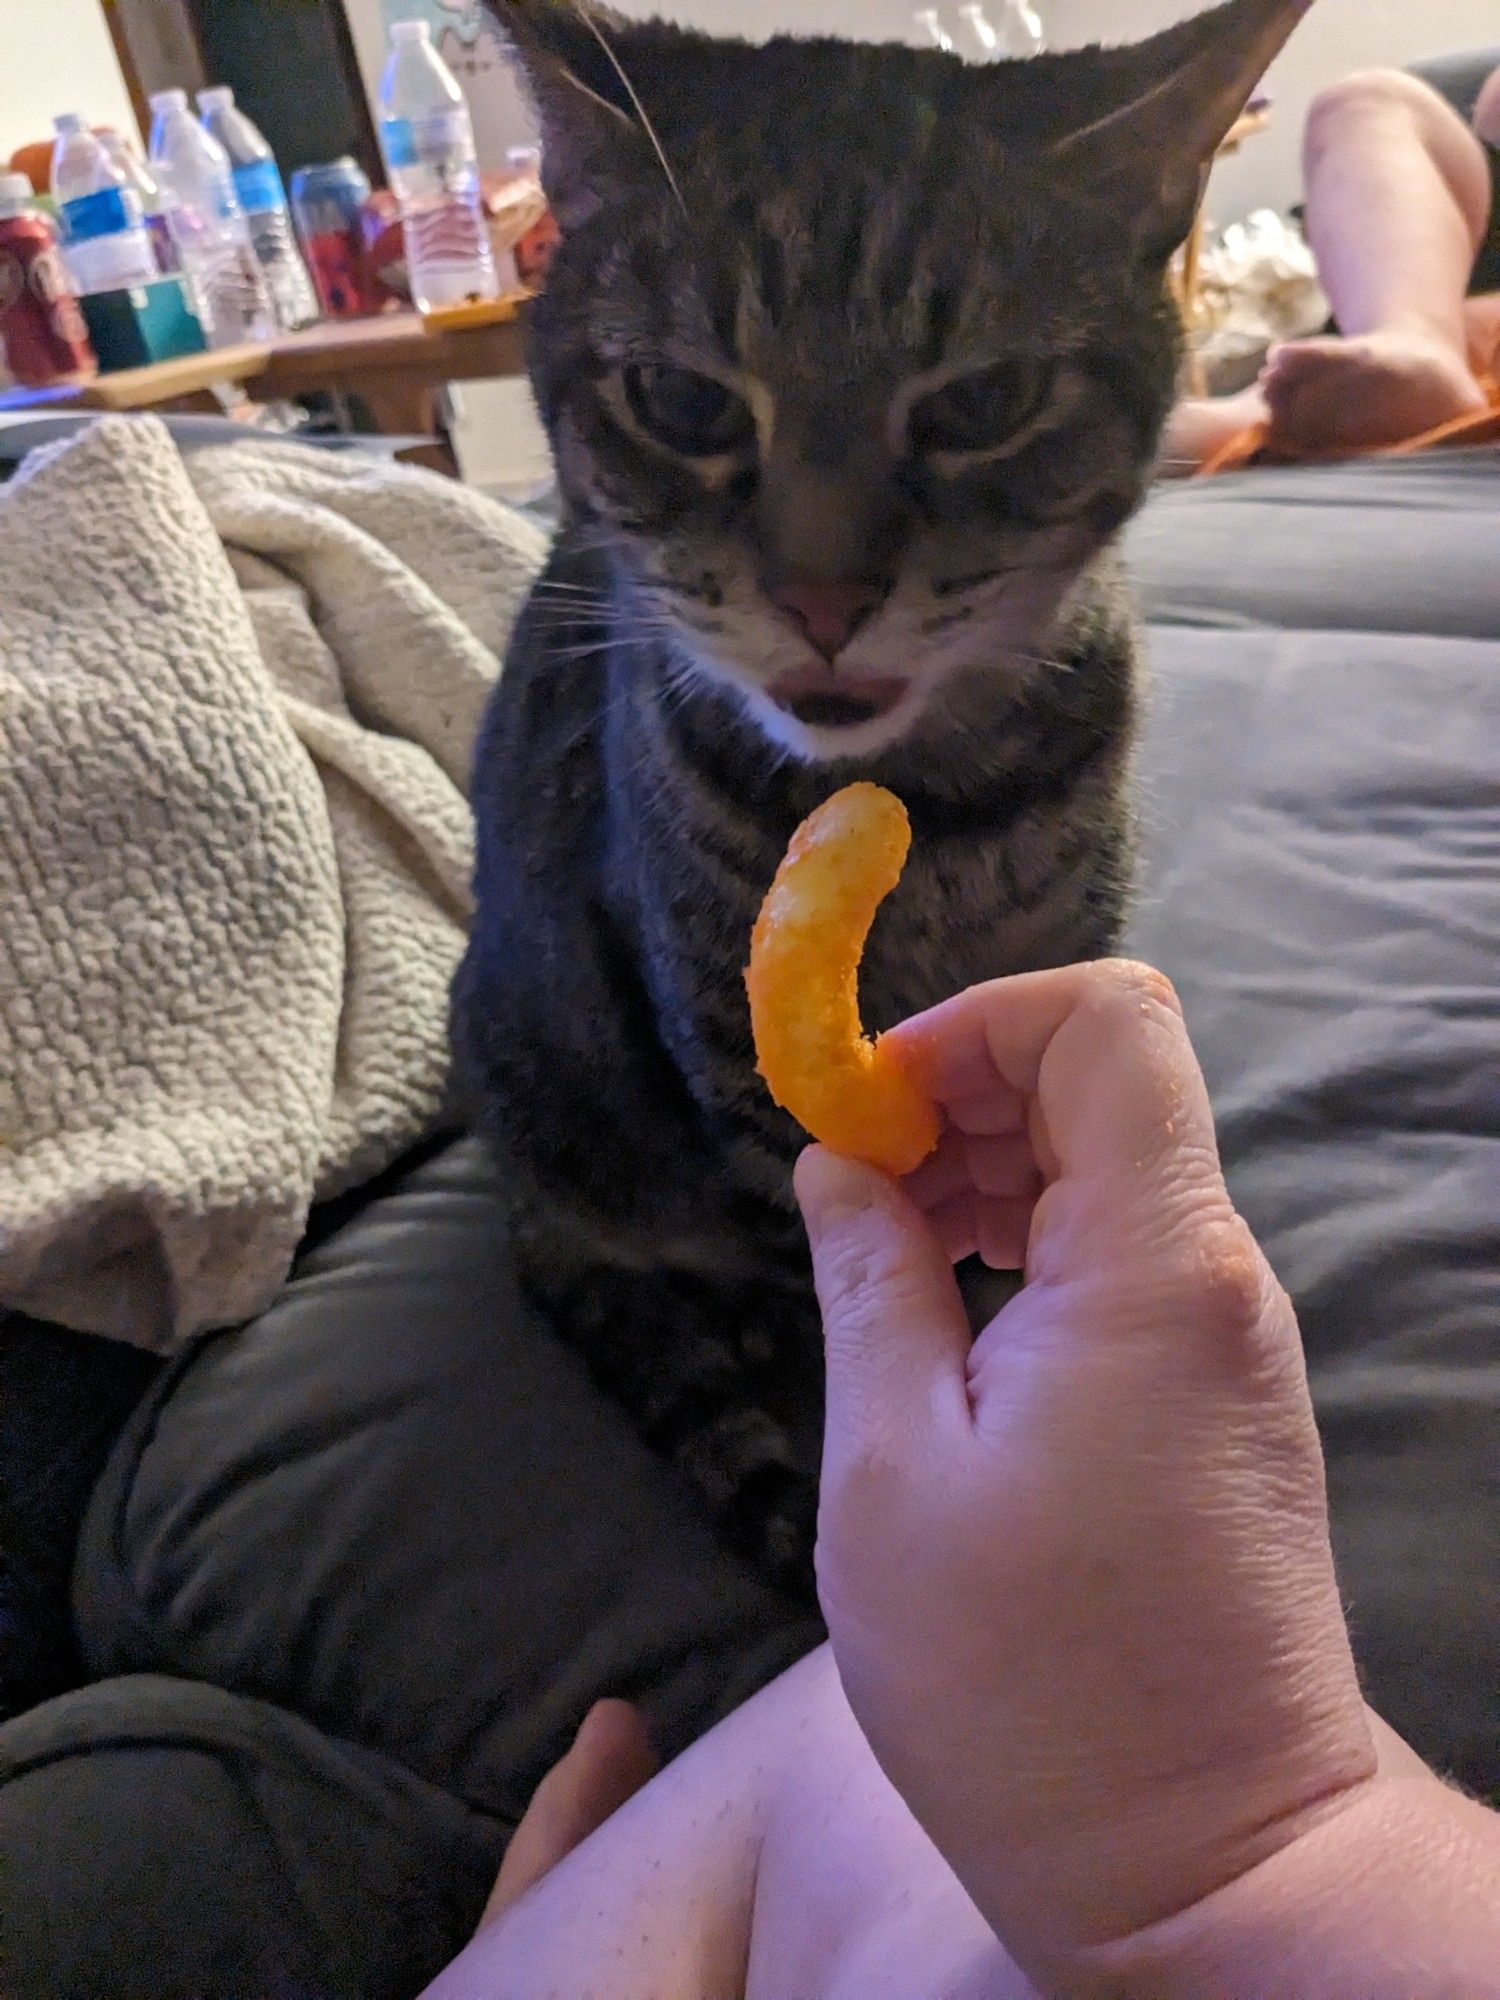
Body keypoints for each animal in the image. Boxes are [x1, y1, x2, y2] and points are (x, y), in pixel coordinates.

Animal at [458, 0, 1312, 1592]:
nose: (823, 598)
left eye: (984, 402)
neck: (928, 810)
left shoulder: (1060, 960)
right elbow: (825, 1284)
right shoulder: (737, 1054)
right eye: (681, 400)